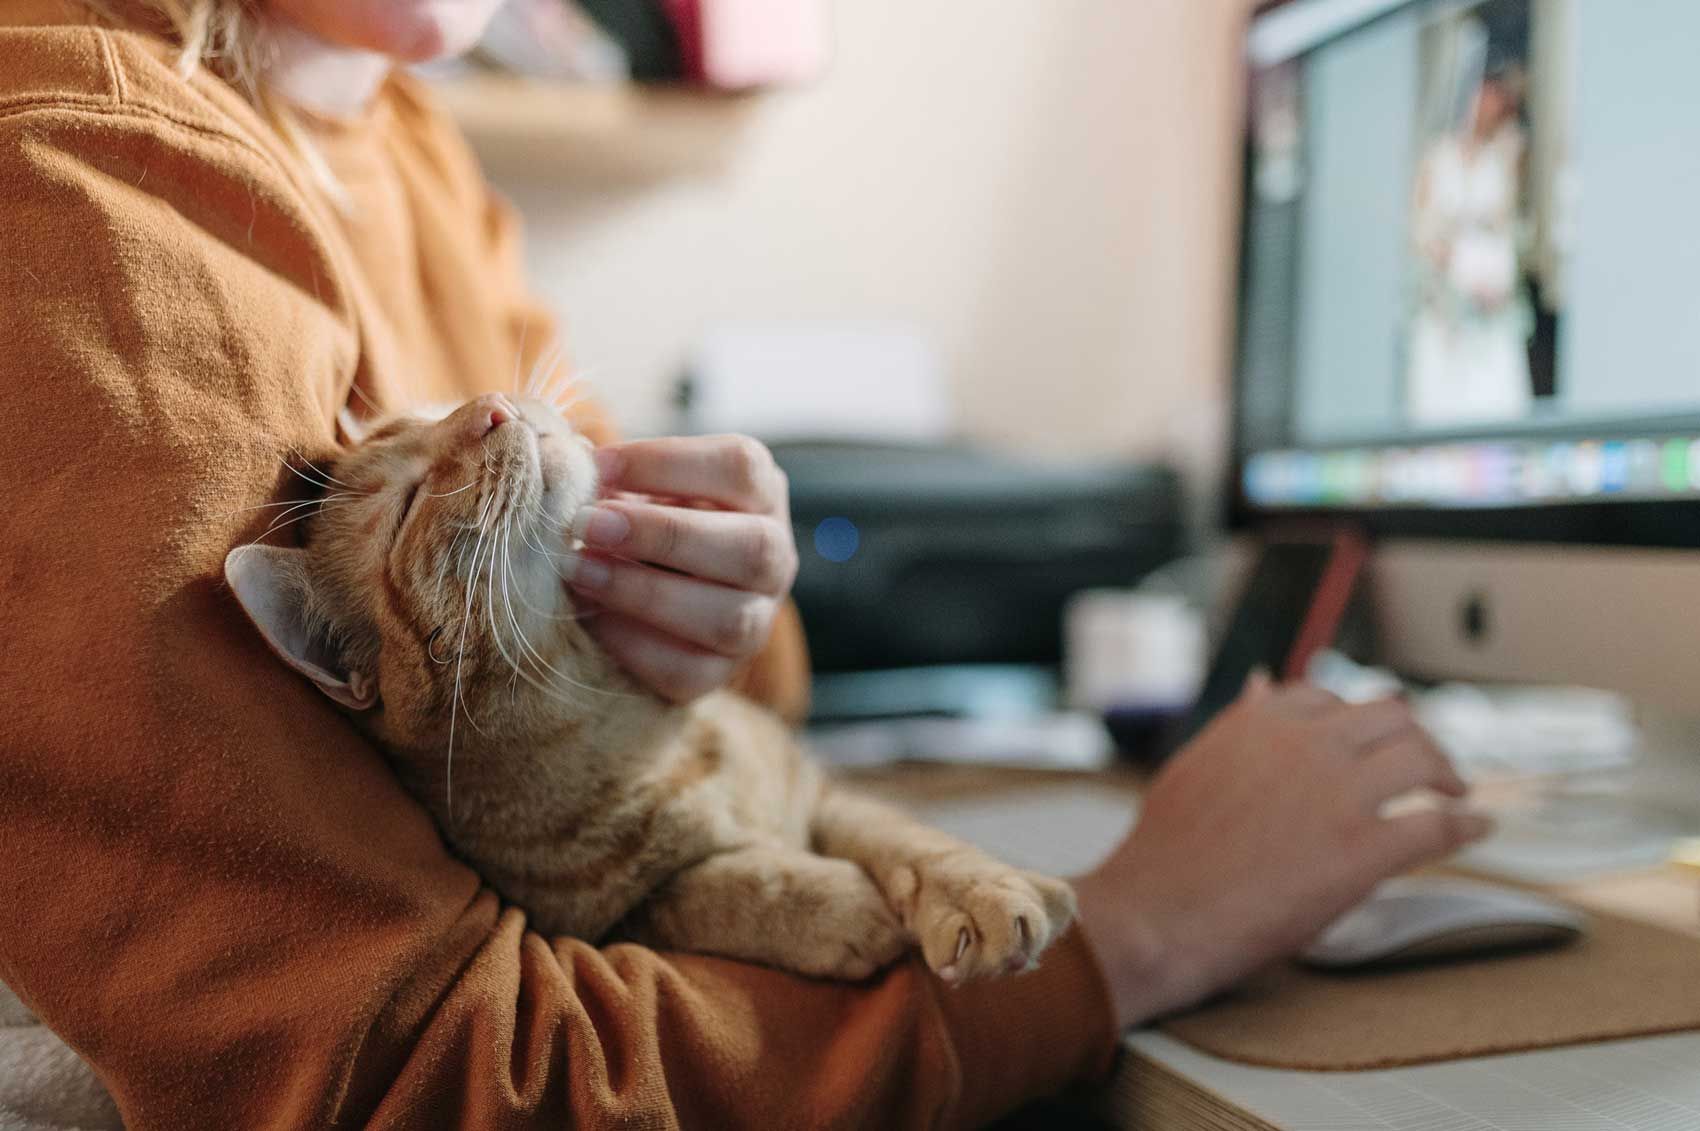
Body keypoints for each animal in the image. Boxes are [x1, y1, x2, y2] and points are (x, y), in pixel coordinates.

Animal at [226, 394, 1074, 979]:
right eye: (406, 504)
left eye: (440, 408)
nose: (493, 404)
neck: (625, 730)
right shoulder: (602, 923)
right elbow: (721, 887)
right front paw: (843, 906)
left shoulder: (819, 787)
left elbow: (907, 836)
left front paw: (984, 891)